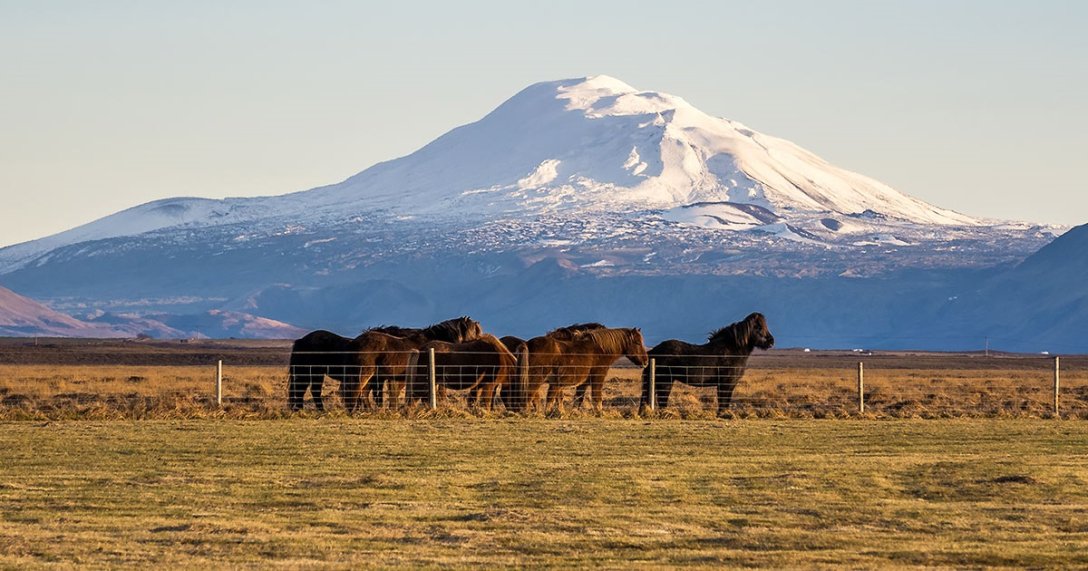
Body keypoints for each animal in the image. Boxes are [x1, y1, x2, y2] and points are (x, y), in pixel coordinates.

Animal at [639, 311, 779, 413]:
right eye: (758, 327)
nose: (771, 341)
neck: (732, 350)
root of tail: (653, 351)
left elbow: (725, 401)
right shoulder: (726, 384)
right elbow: (723, 401)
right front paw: (722, 415)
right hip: (665, 382)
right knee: (662, 400)